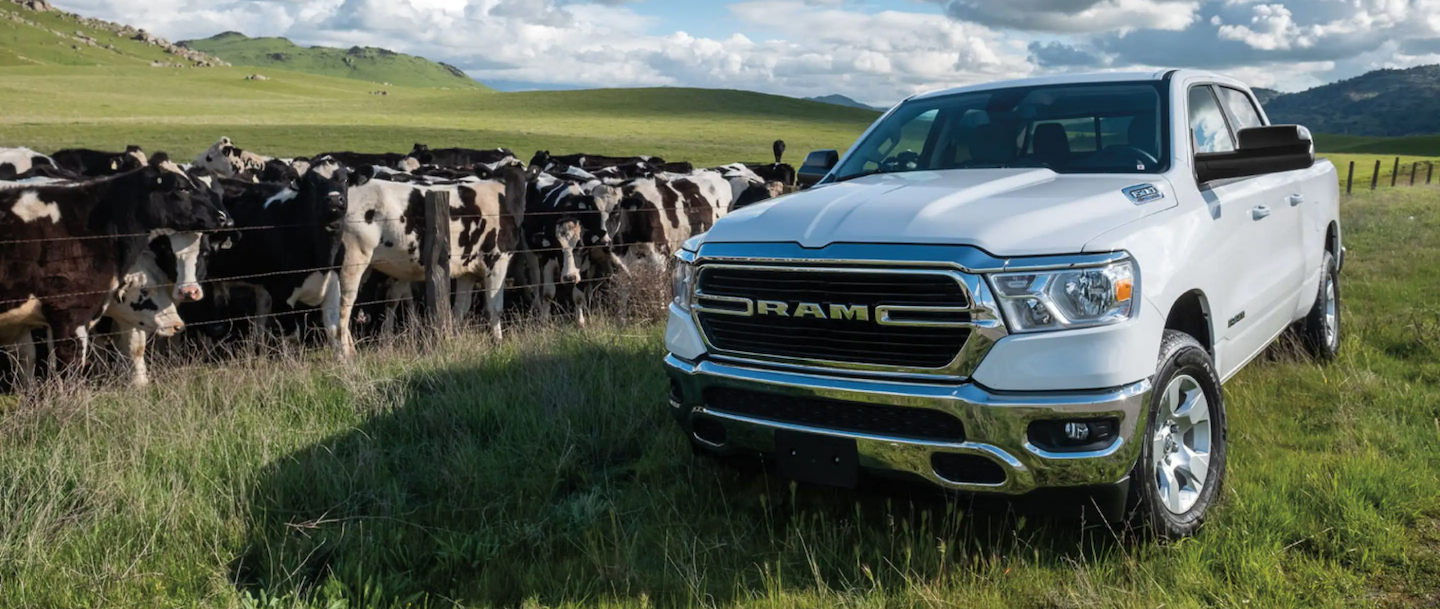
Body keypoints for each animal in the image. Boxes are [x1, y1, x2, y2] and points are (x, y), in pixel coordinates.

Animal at [336, 164, 529, 355]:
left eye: (524, 182)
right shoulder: (498, 260)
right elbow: (495, 308)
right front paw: (498, 343)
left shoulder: (468, 270)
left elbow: (460, 308)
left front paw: (454, 339)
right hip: (350, 263)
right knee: (341, 309)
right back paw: (344, 355)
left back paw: (352, 350)